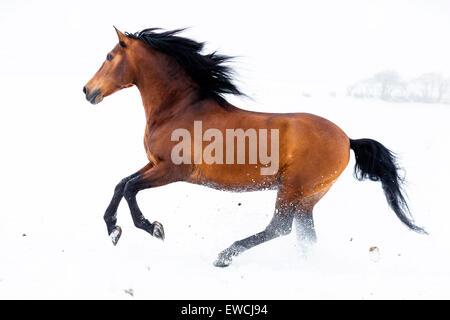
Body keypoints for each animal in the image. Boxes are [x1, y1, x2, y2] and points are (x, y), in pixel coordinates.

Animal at [84, 27, 426, 268]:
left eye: (109, 57)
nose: (87, 90)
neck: (179, 109)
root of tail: (348, 139)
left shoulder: (173, 170)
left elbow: (130, 188)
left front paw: (153, 228)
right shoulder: (154, 164)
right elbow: (121, 184)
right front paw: (113, 230)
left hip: (292, 189)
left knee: (279, 228)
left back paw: (224, 255)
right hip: (308, 197)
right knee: (305, 237)